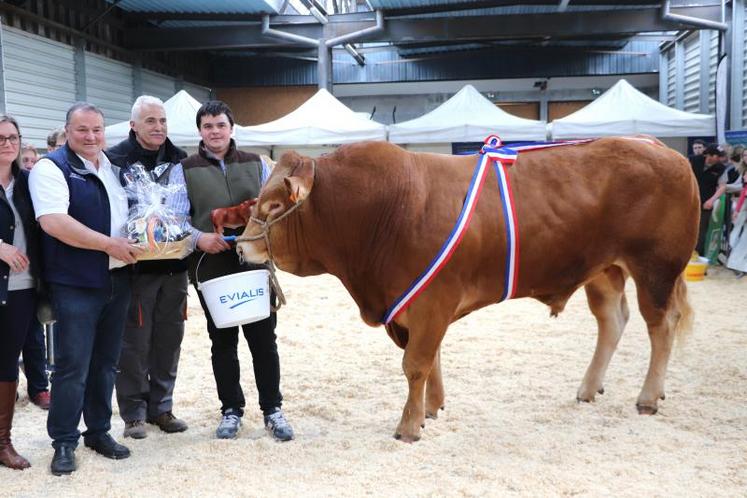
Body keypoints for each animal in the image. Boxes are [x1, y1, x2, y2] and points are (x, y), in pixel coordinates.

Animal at [235, 138, 700, 442]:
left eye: (273, 206)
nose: (240, 246)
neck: (383, 210)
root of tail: (660, 147)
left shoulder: (431, 302)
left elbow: (415, 364)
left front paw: (408, 426)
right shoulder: (419, 305)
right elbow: (432, 359)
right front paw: (430, 408)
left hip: (655, 269)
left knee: (661, 327)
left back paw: (648, 397)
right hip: (604, 270)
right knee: (612, 321)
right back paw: (589, 388)